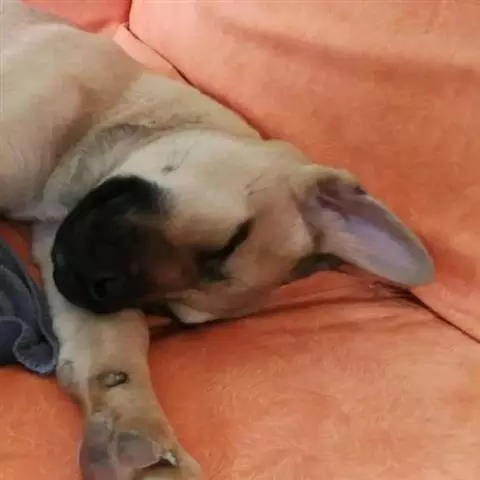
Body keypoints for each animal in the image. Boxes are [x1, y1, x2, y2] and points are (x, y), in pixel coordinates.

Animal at [1, 1, 434, 479]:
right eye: (231, 241)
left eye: (167, 312)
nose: (94, 287)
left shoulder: (58, 240)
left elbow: (113, 339)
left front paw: (133, 431)